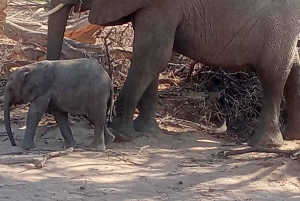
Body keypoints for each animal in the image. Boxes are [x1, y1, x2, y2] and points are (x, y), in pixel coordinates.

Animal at [44, 0, 300, 148]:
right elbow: (150, 56)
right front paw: (145, 130)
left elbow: (152, 55)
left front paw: (121, 135)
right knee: (294, 69)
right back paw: (291, 136)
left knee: (273, 73)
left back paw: (265, 145)